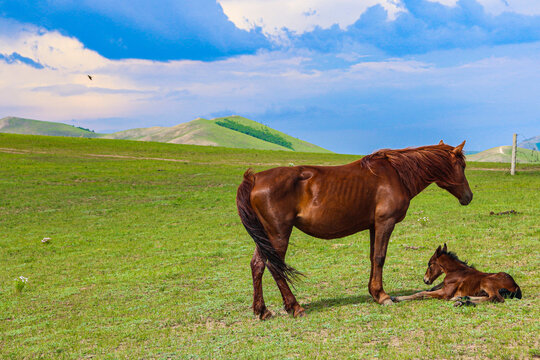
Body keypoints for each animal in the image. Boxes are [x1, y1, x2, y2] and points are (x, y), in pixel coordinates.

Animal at [236, 141, 472, 318]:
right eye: (462, 167)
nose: (468, 197)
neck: (397, 174)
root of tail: (255, 178)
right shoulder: (385, 223)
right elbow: (380, 257)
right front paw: (383, 296)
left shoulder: (373, 226)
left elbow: (373, 257)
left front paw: (374, 293)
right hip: (278, 234)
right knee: (274, 268)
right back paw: (295, 307)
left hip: (265, 237)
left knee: (257, 265)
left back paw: (263, 311)